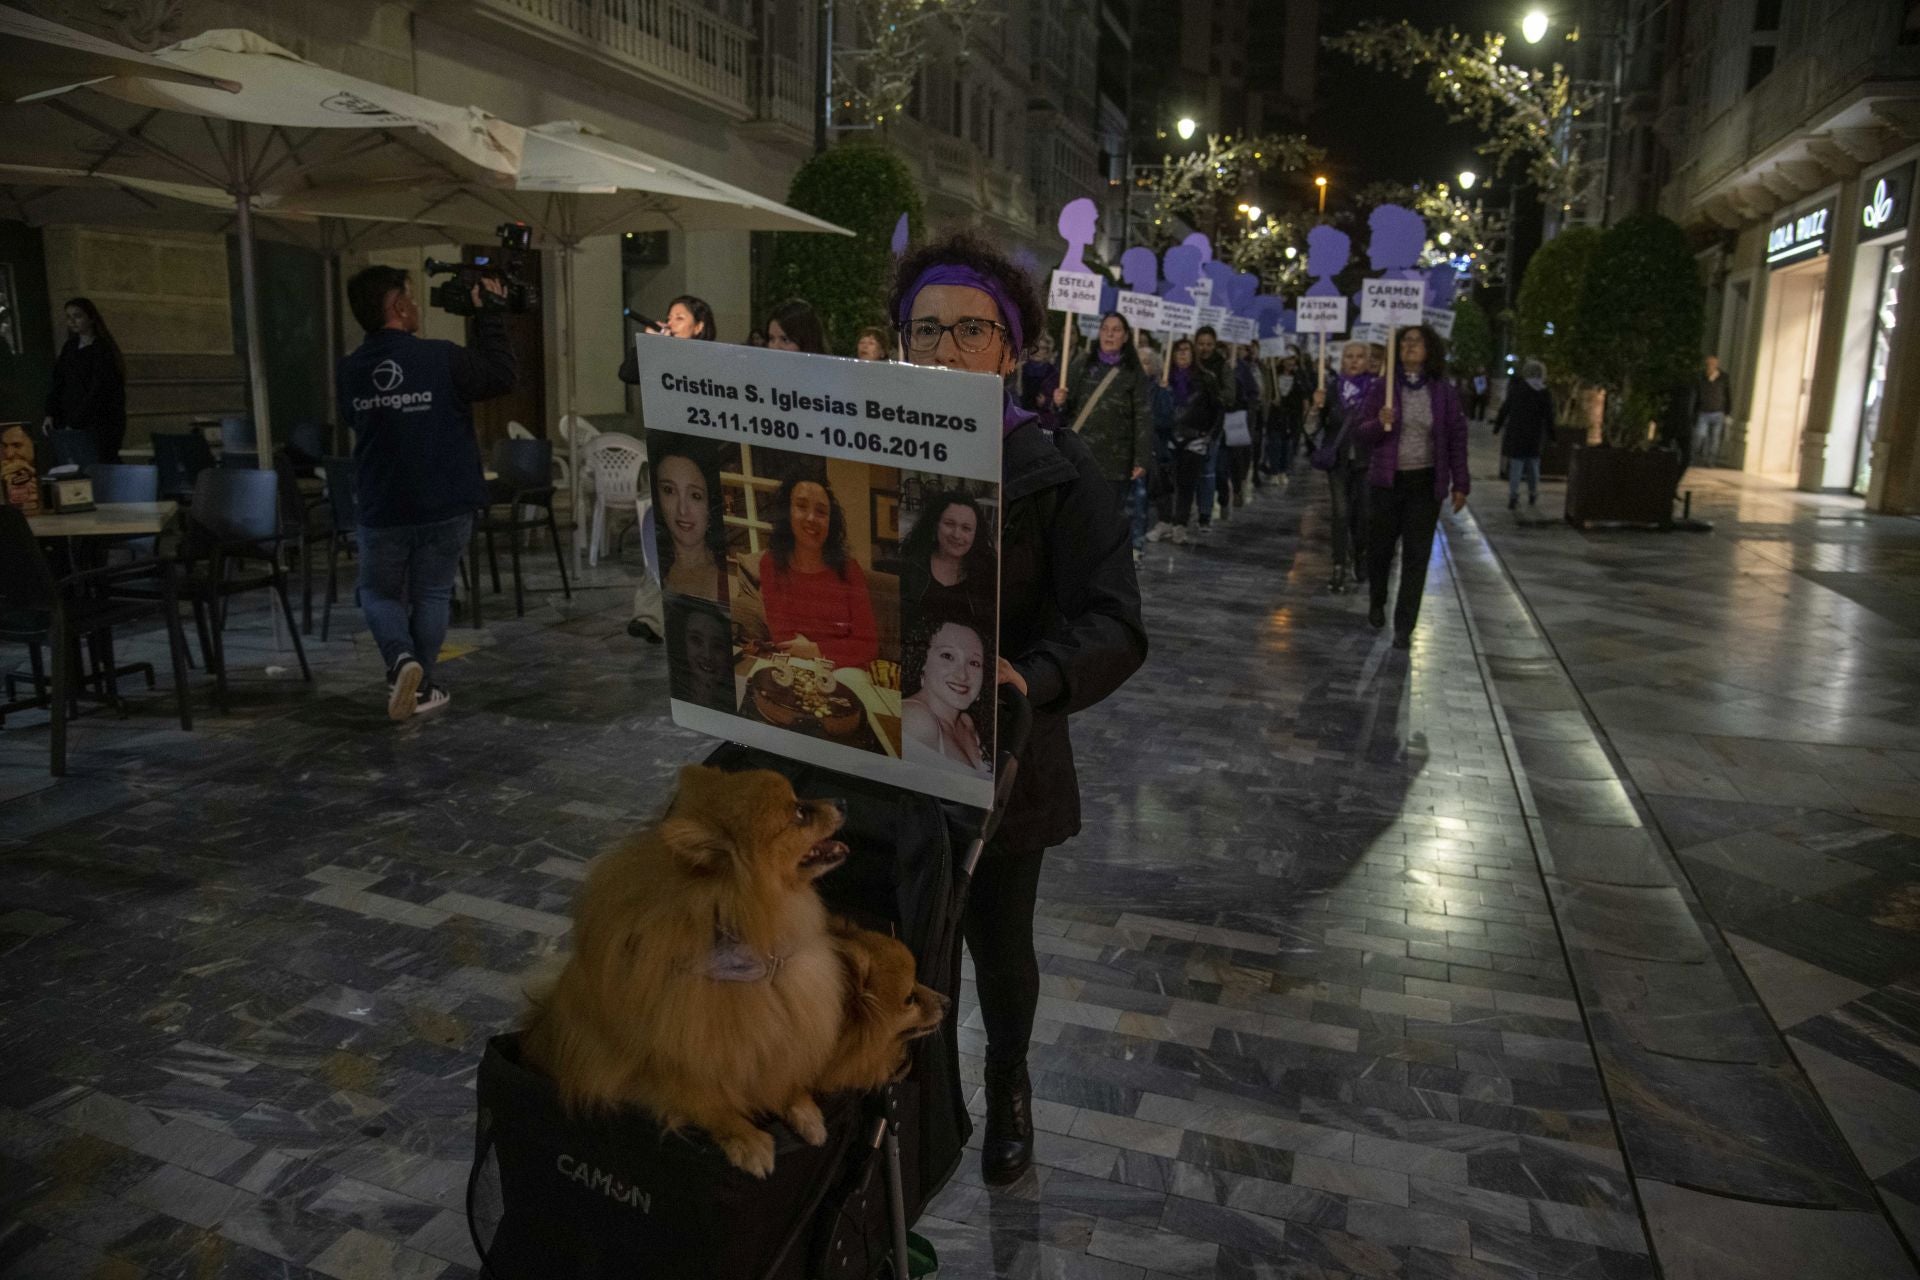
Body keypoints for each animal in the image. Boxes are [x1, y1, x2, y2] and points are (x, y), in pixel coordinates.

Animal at [529, 767, 852, 1174]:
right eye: (798, 813)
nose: (841, 800)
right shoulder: (675, 1056)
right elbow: (706, 1102)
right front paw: (747, 1140)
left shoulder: (781, 1027)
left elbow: (783, 1075)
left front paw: (803, 1109)